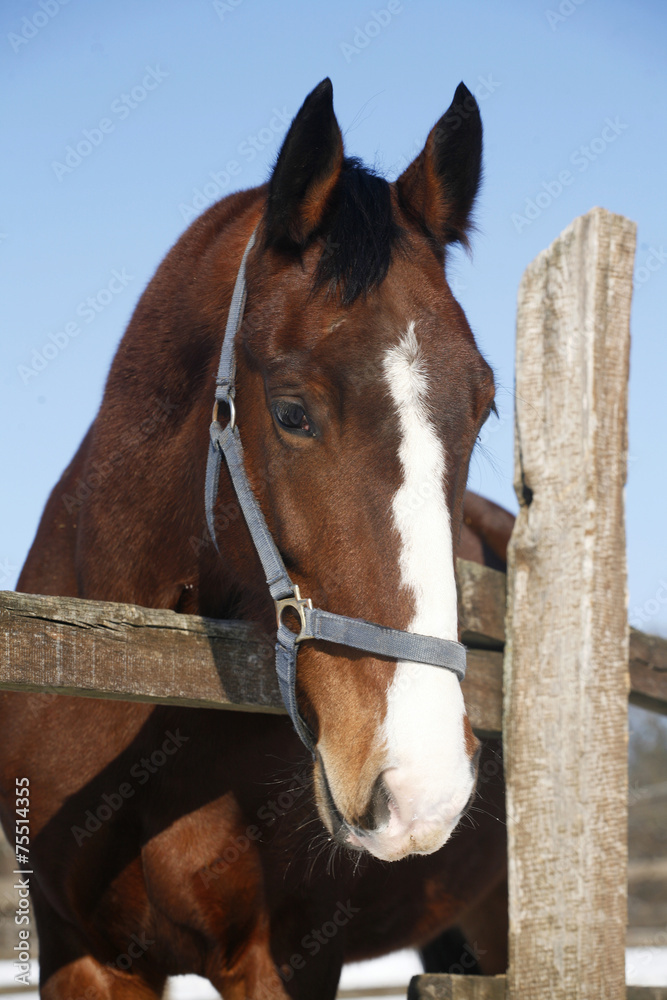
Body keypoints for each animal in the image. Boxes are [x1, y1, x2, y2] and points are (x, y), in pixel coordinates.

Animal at [0, 78, 508, 999]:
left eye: (482, 408)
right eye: (292, 412)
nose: (423, 785)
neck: (128, 669)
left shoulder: (287, 956)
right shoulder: (78, 952)